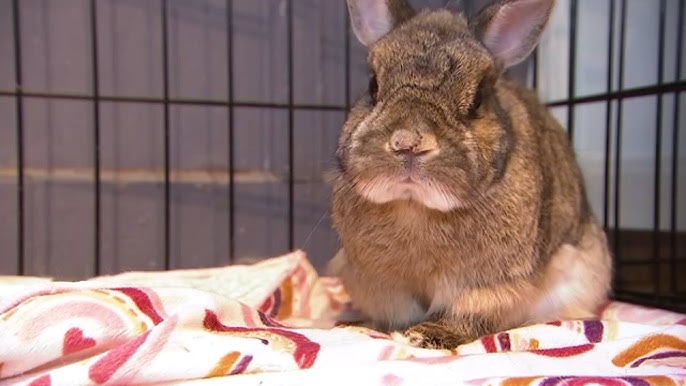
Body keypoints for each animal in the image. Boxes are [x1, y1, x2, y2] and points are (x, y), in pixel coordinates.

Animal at [330, 0, 616, 350]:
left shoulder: (488, 285)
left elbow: (468, 314)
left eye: (478, 98)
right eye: (373, 86)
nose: (408, 142)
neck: (415, 207)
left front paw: (426, 336)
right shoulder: (381, 284)